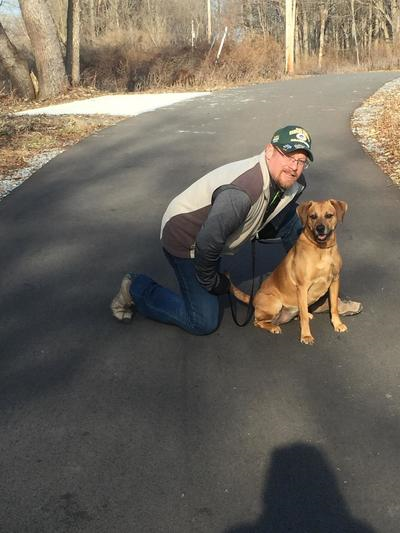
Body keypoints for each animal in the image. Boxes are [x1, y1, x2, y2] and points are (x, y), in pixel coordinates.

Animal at [228, 200, 349, 345]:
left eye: (329, 215)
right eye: (312, 216)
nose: (320, 228)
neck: (321, 249)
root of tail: (254, 297)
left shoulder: (335, 280)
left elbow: (334, 307)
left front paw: (337, 324)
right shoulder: (302, 287)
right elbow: (304, 317)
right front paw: (306, 336)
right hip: (274, 302)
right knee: (258, 321)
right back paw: (274, 327)